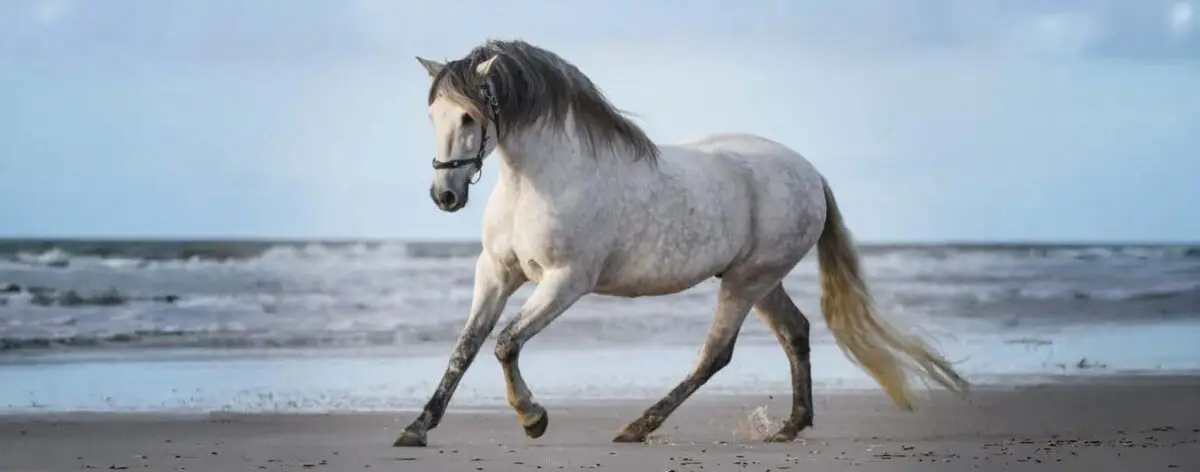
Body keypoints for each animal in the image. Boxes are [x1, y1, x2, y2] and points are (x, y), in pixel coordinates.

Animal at [393, 39, 969, 448]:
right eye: (433, 115)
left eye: (469, 116)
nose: (445, 195)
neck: (539, 180)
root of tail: (810, 173)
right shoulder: (496, 272)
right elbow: (465, 348)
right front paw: (417, 428)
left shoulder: (566, 282)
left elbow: (506, 343)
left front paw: (532, 418)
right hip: (760, 281)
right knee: (795, 332)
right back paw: (789, 426)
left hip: (746, 281)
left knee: (716, 354)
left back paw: (638, 426)